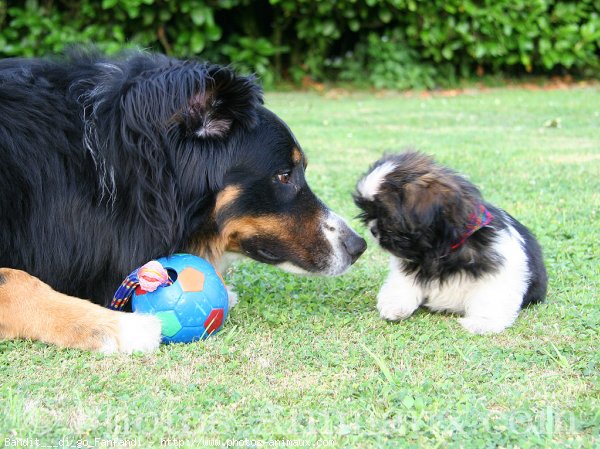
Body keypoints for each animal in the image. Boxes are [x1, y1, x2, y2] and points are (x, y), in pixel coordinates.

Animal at [354, 151, 548, 332]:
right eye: (368, 213)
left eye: (389, 219)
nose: (373, 230)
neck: (442, 249)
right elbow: (403, 282)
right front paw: (395, 306)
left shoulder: (499, 264)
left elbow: (491, 294)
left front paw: (482, 322)